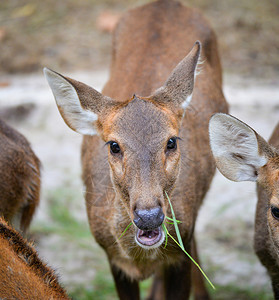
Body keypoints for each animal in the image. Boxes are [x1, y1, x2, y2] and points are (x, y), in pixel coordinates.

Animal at [43, 0, 228, 298]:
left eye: (171, 141)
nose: (149, 217)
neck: (141, 259)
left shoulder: (180, 254)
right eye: (114, 145)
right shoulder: (113, 259)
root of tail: (165, 4)